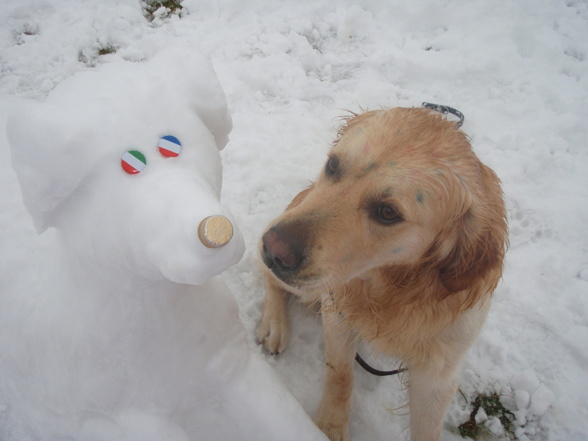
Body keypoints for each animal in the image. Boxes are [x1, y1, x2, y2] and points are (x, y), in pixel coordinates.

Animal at [258, 107, 510, 440]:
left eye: (388, 213)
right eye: (333, 164)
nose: (273, 249)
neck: (392, 289)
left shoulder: (438, 372)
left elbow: (427, 428)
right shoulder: (337, 316)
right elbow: (341, 374)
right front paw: (330, 425)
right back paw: (274, 324)